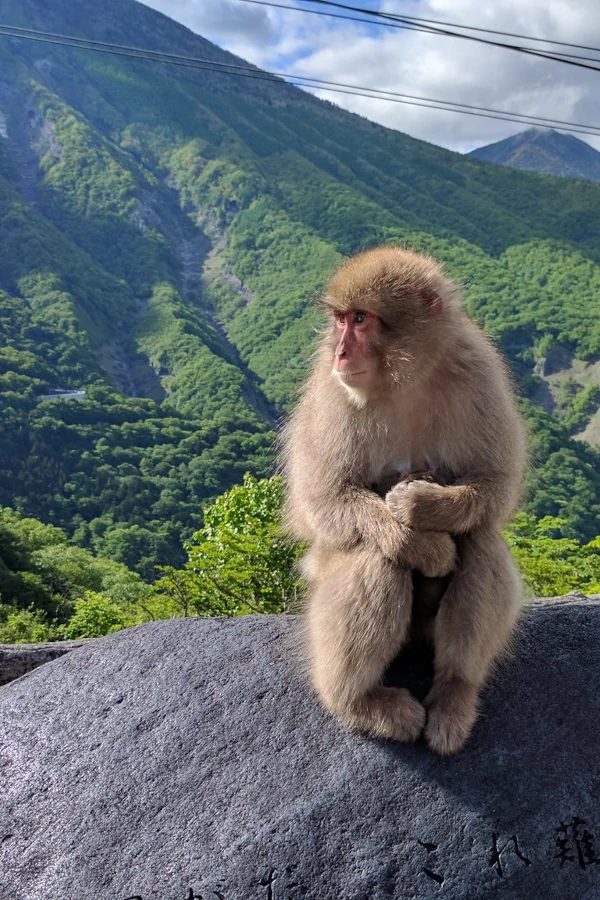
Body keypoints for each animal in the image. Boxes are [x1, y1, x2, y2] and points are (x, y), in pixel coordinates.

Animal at [281, 246, 526, 755]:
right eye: (341, 319)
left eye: (361, 319)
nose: (340, 350)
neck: (404, 378)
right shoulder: (331, 390)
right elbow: (322, 498)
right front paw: (425, 545)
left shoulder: (476, 370)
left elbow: (496, 485)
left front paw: (420, 507)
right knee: (375, 554)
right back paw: (358, 701)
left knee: (481, 540)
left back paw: (455, 692)